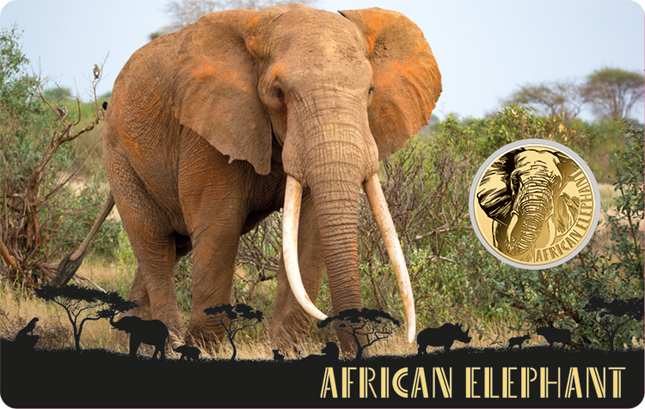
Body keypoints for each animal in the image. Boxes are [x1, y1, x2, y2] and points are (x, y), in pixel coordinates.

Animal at [54, 4, 441, 354]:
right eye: (278, 92)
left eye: (370, 91)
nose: (356, 352)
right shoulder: (207, 127)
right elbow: (219, 226)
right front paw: (205, 349)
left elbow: (310, 232)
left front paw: (286, 349)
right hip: (120, 156)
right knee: (154, 242)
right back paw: (171, 343)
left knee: (174, 246)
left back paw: (127, 341)